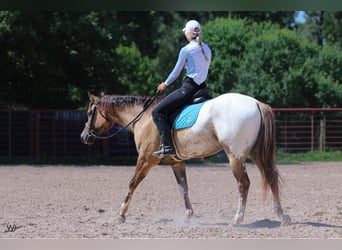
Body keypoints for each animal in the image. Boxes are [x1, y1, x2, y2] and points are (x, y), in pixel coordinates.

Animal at [80, 92, 292, 227]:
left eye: (90, 113)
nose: (84, 137)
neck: (144, 117)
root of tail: (256, 103)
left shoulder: (146, 160)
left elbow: (132, 183)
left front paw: (121, 215)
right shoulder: (176, 162)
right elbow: (183, 188)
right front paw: (189, 215)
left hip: (235, 157)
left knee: (244, 184)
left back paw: (237, 219)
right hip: (256, 154)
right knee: (271, 178)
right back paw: (282, 216)